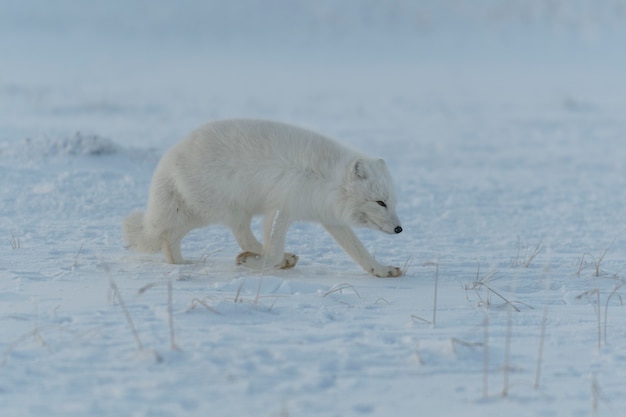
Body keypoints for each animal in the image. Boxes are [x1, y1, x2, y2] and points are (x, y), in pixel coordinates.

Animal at [122, 118, 404, 276]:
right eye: (380, 202)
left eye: (392, 202)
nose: (399, 229)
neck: (326, 180)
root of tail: (169, 159)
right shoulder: (281, 207)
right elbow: (274, 249)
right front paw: (261, 262)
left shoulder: (329, 218)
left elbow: (359, 251)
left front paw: (381, 271)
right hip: (225, 211)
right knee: (240, 237)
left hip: (202, 212)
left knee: (169, 236)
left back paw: (180, 263)